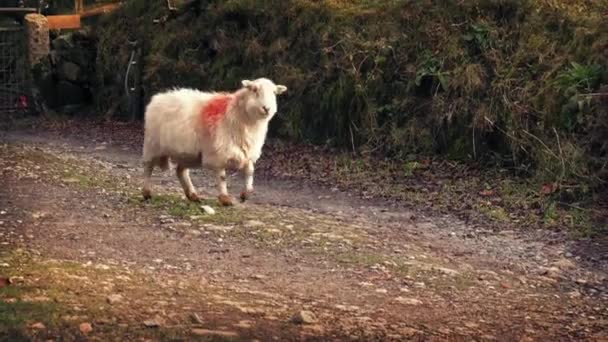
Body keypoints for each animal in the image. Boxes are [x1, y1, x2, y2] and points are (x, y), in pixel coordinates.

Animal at [141, 78, 288, 206]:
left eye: (274, 93)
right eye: (254, 90)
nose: (267, 108)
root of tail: (159, 97)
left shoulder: (246, 152)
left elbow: (250, 172)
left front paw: (245, 194)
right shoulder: (218, 152)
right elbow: (222, 177)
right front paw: (225, 199)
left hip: (189, 154)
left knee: (181, 171)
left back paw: (193, 195)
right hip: (152, 145)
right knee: (148, 167)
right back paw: (146, 193)